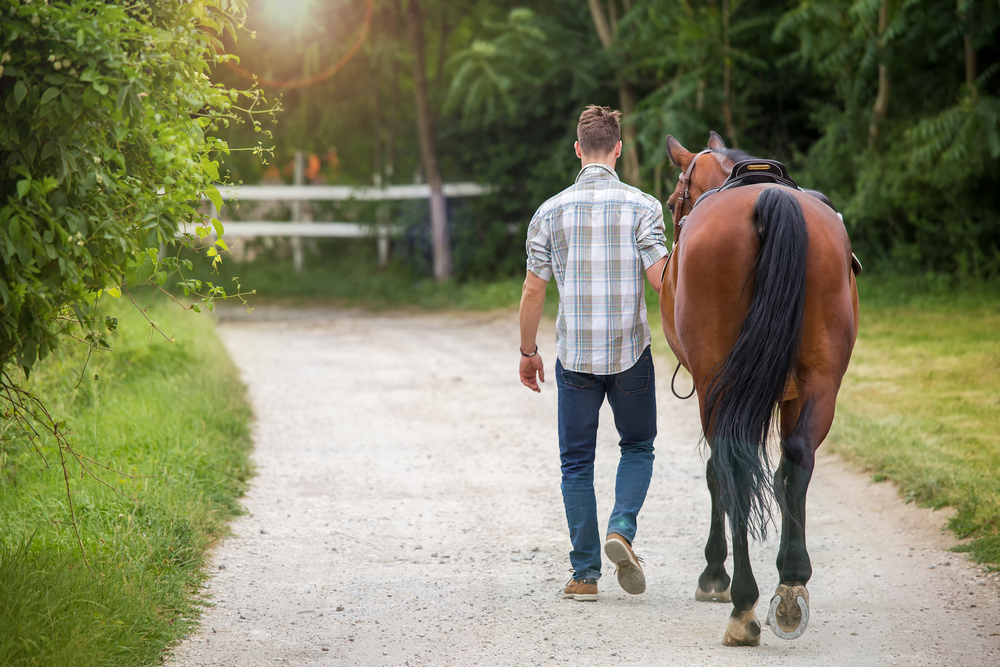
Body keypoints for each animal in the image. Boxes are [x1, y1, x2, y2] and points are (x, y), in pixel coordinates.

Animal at [659, 131, 860, 646]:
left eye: (673, 200)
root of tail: (770, 201)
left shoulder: (711, 388)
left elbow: (717, 472)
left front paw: (714, 575)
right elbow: (786, 472)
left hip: (719, 381)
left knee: (734, 465)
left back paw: (743, 603)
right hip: (821, 377)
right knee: (797, 457)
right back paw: (790, 584)